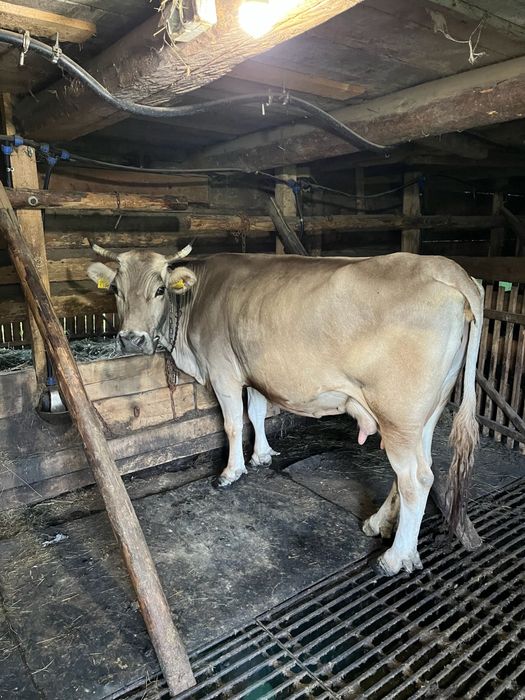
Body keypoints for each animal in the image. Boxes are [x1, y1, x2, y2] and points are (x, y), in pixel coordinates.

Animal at [88, 245, 483, 576]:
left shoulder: (223, 371)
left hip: (398, 414)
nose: (131, 338)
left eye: (159, 290)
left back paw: (395, 557)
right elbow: (256, 412)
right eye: (115, 289)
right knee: (419, 469)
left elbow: (233, 423)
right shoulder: (252, 370)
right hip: (425, 413)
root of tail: (447, 268)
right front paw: (262, 456)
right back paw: (379, 523)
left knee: (415, 479)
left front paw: (231, 472)